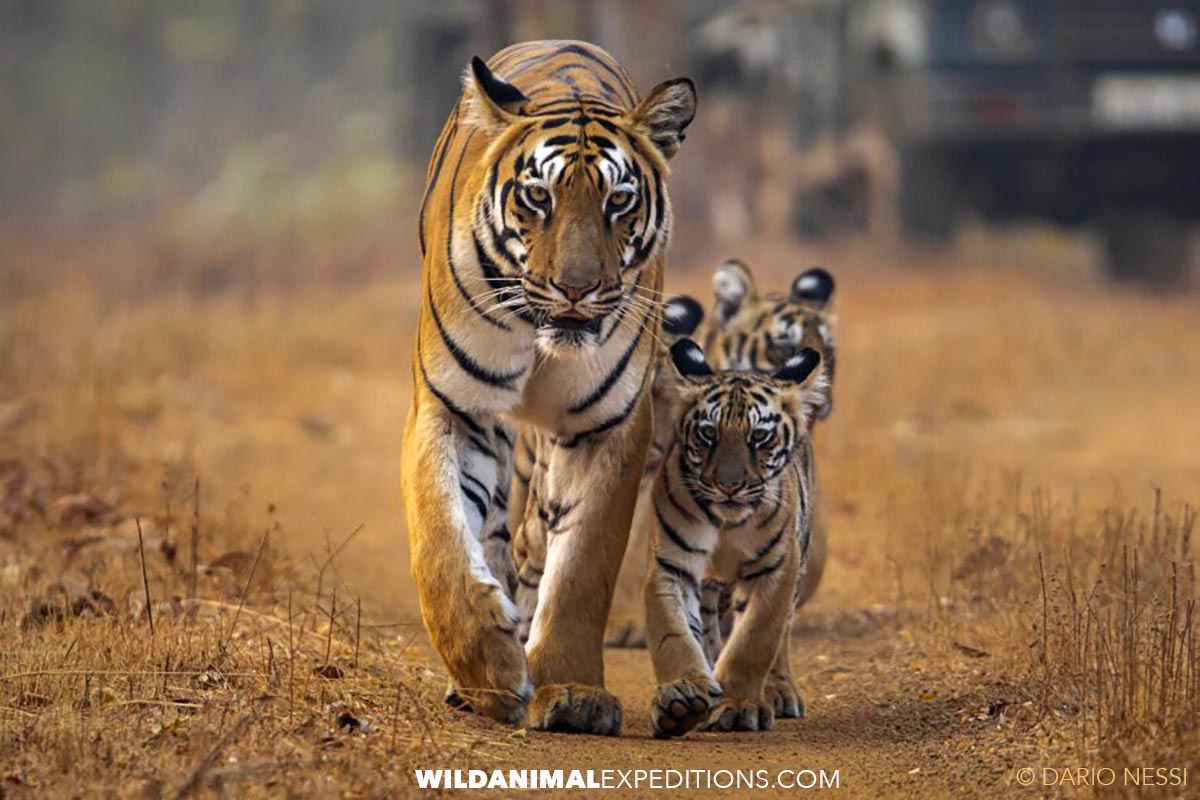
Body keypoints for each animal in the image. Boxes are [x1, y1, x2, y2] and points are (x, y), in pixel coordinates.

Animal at [401, 40, 696, 735]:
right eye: (538, 197)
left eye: (619, 201)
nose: (576, 288)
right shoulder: (452, 407)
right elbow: (441, 541)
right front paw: (488, 666)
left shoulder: (607, 427)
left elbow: (582, 568)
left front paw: (570, 693)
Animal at [644, 338, 826, 738]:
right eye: (708, 433)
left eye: (758, 436)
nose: (729, 485)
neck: (727, 525)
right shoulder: (672, 566)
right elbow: (674, 634)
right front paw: (682, 699)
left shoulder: (778, 569)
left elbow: (755, 639)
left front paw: (739, 707)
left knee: (780, 634)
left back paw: (778, 691)